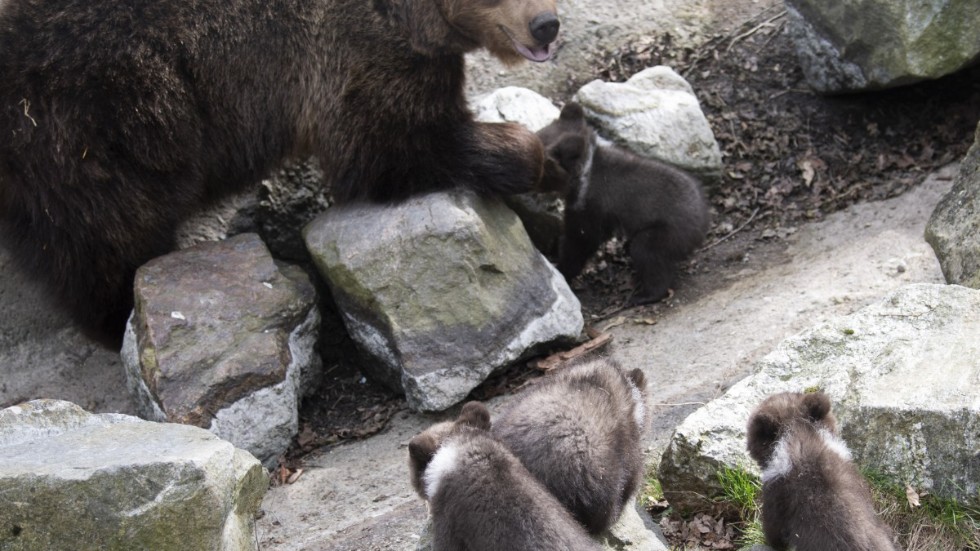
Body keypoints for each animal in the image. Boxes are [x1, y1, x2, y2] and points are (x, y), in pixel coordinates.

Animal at [0, 0, 560, 344]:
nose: (548, 23)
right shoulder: (348, 54)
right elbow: (393, 149)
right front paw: (526, 155)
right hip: (98, 114)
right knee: (105, 228)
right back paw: (122, 309)